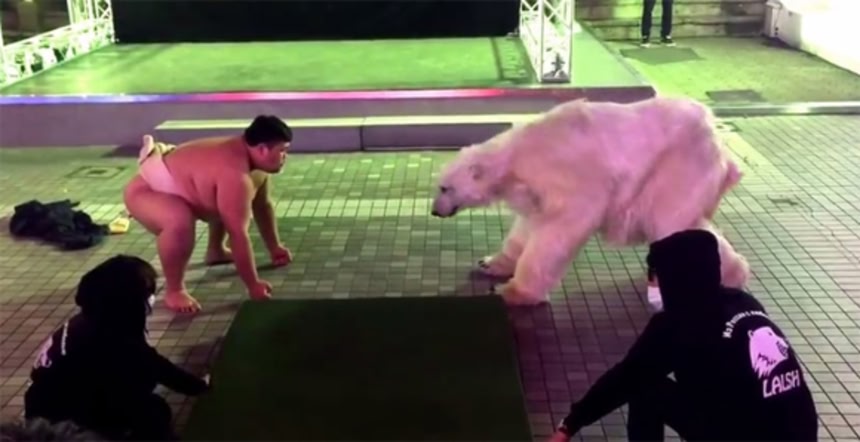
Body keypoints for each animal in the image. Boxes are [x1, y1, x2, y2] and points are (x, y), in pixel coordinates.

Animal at [430, 97, 750, 306]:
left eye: (445, 188)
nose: (435, 211)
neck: (518, 155)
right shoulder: (536, 191)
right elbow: (528, 225)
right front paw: (490, 263)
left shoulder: (566, 174)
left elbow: (563, 225)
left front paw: (514, 292)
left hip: (677, 166)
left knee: (671, 220)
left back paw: (729, 275)